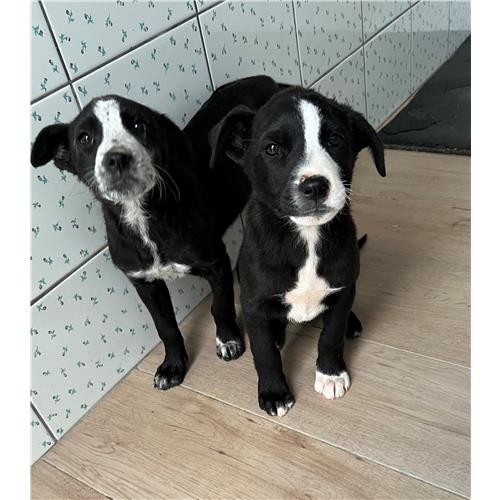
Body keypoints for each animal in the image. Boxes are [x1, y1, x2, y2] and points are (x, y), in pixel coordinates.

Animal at [30, 91, 276, 390]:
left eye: (139, 125)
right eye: (85, 138)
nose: (117, 159)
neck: (144, 217)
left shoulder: (216, 262)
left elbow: (222, 305)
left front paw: (228, 341)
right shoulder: (145, 283)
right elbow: (166, 326)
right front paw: (173, 365)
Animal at [212, 79, 385, 416]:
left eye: (334, 139)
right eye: (272, 149)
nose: (315, 186)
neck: (306, 238)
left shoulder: (342, 290)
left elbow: (331, 335)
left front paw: (330, 374)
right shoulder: (253, 304)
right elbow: (264, 353)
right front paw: (274, 392)